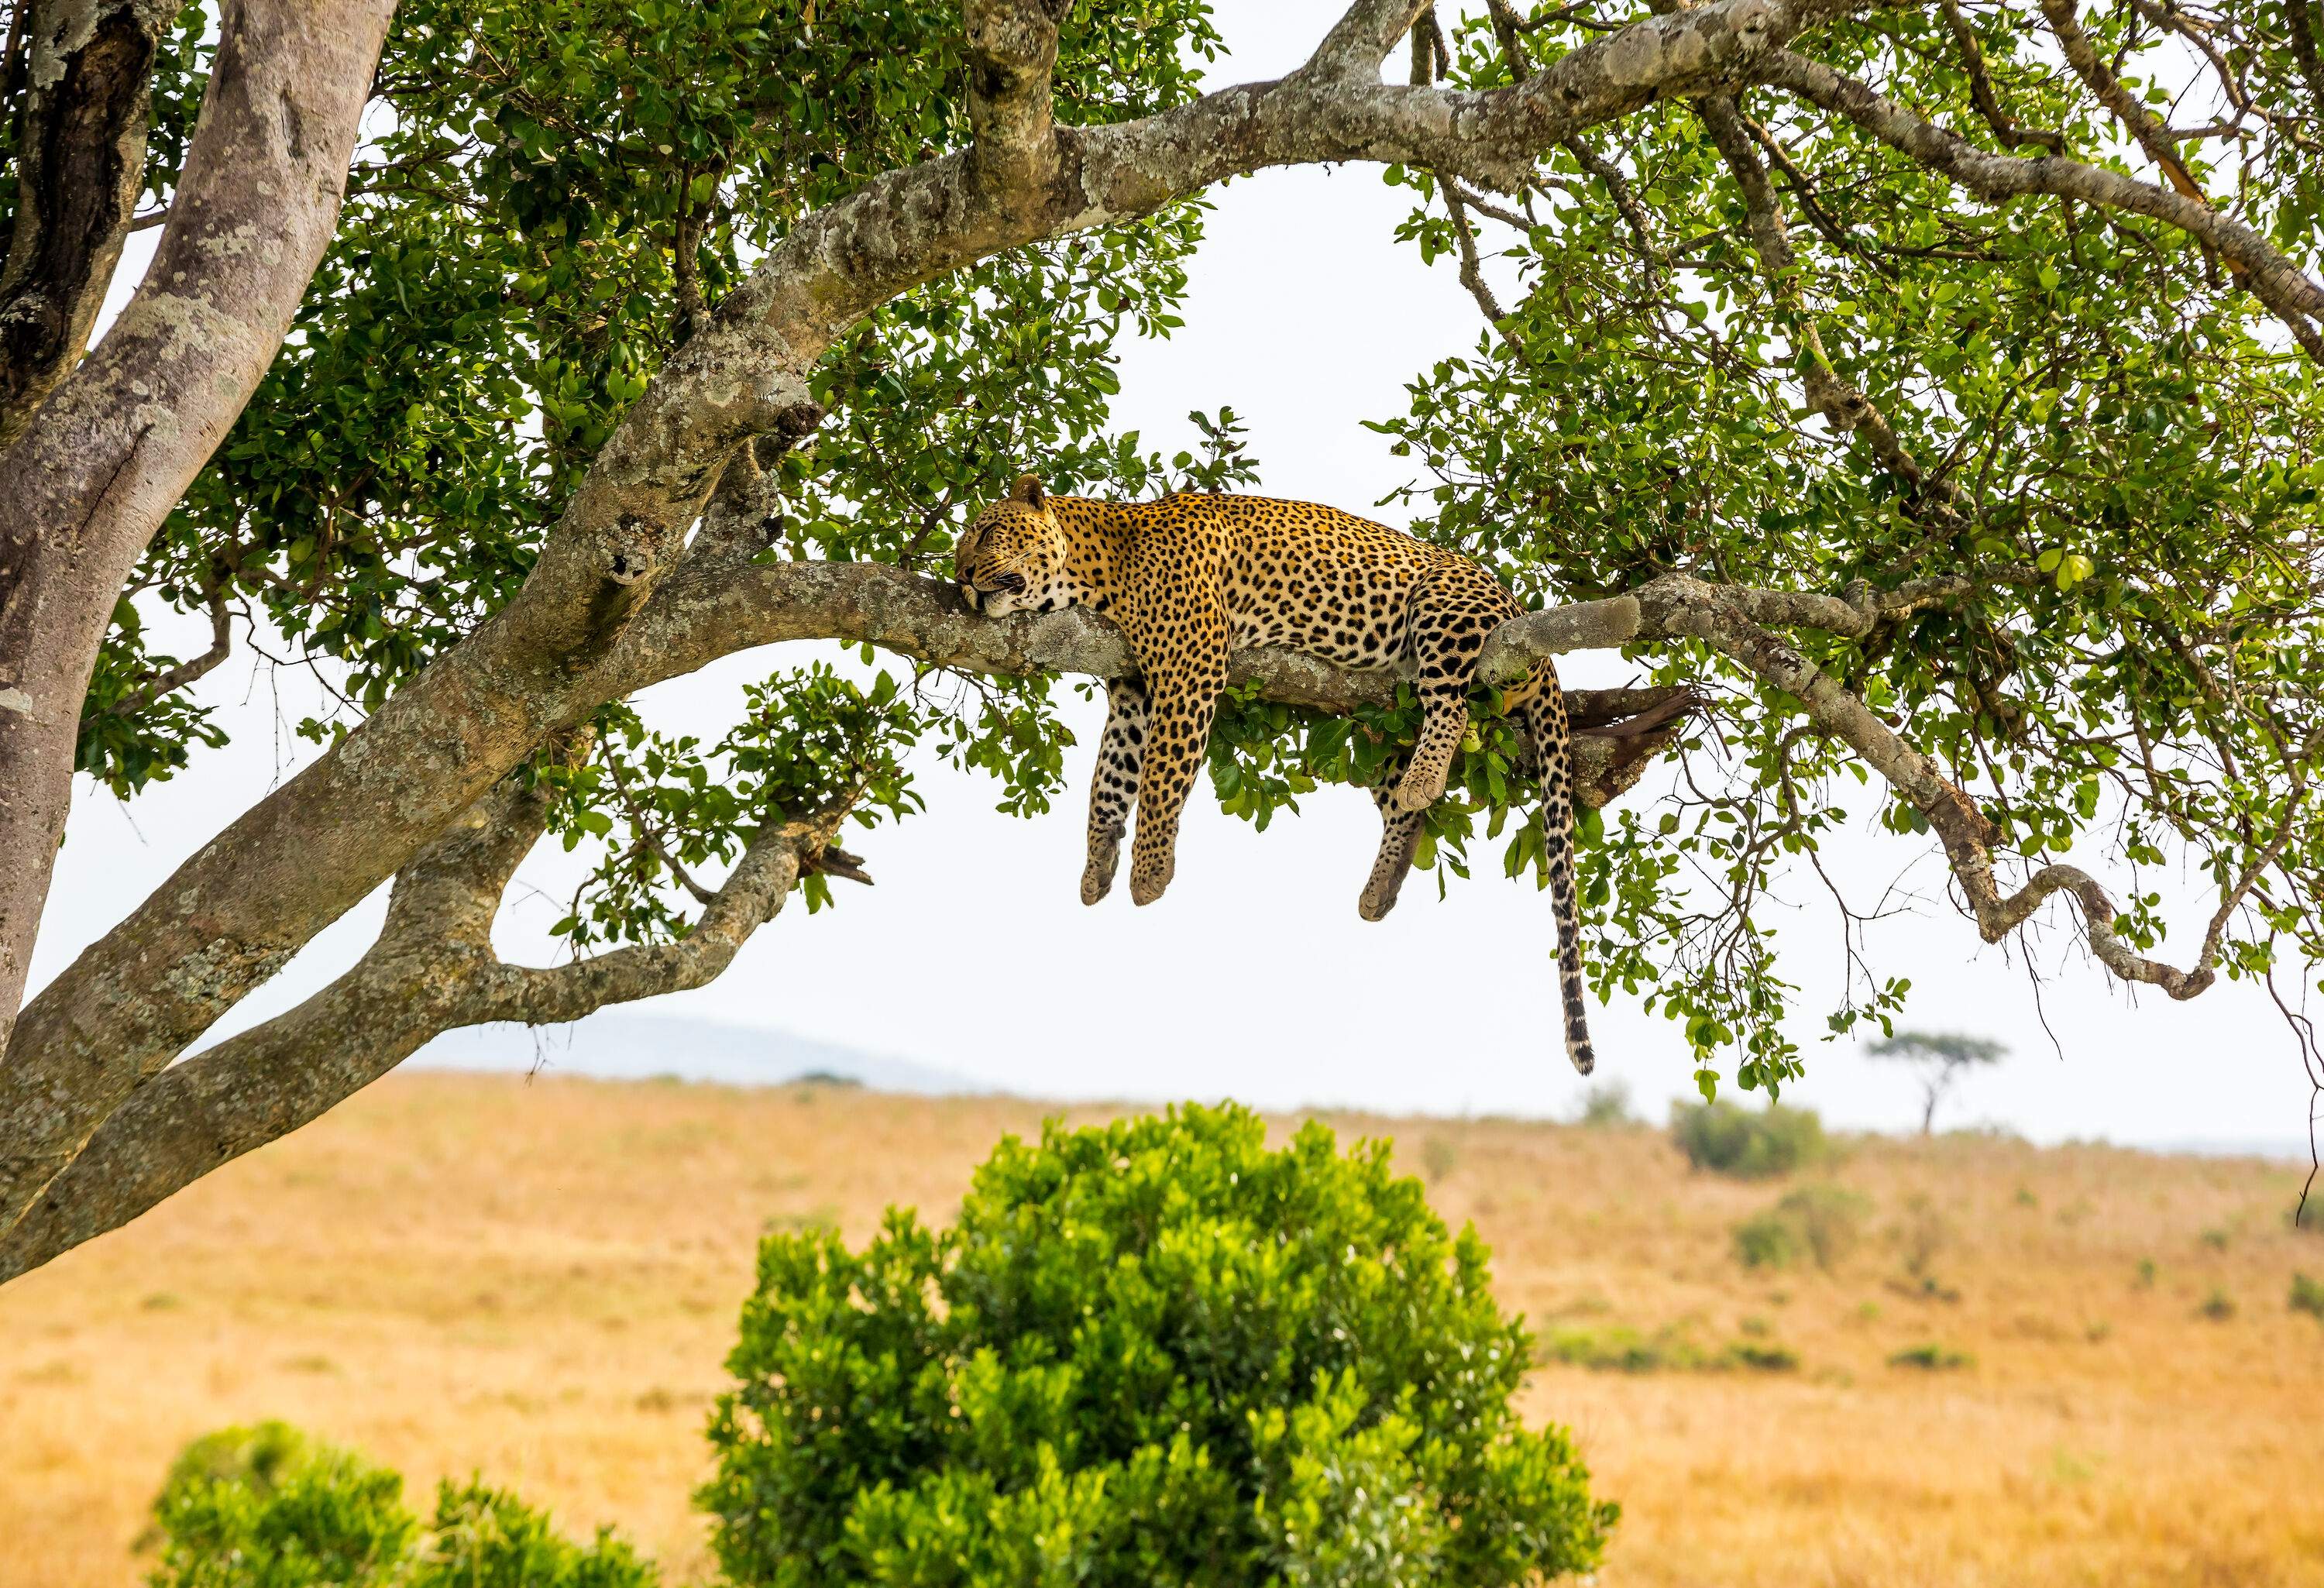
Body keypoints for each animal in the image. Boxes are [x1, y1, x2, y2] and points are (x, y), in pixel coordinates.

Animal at [948, 465, 1599, 1074]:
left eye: (986, 532)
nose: (960, 577)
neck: (1097, 569)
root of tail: (1518, 607)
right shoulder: (1132, 692)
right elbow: (1110, 782)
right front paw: (1096, 866)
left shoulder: (1191, 665)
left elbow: (1161, 778)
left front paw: (1150, 873)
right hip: (1383, 719)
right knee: (1401, 805)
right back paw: (1382, 885)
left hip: (1445, 609)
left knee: (1454, 708)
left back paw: (1424, 779)